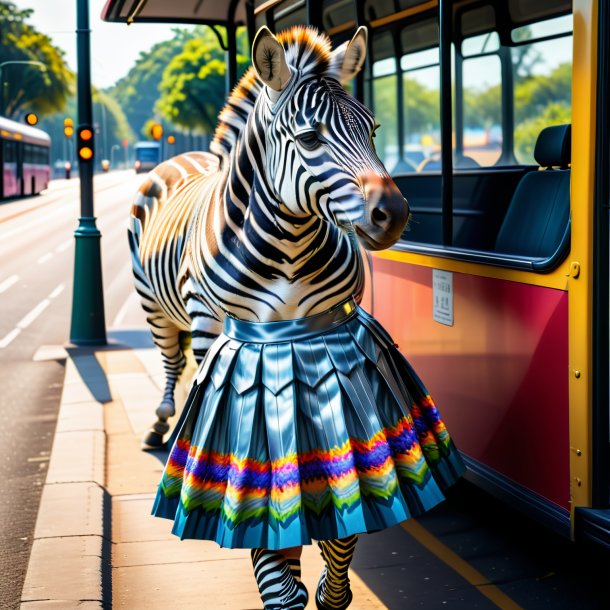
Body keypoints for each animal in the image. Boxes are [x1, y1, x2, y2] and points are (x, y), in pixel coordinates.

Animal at [131, 25, 410, 446]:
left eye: (372, 130)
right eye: (309, 139)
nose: (394, 214)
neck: (289, 248)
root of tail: (181, 156)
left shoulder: (319, 320)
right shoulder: (210, 327)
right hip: (153, 305)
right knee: (171, 358)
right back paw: (163, 420)